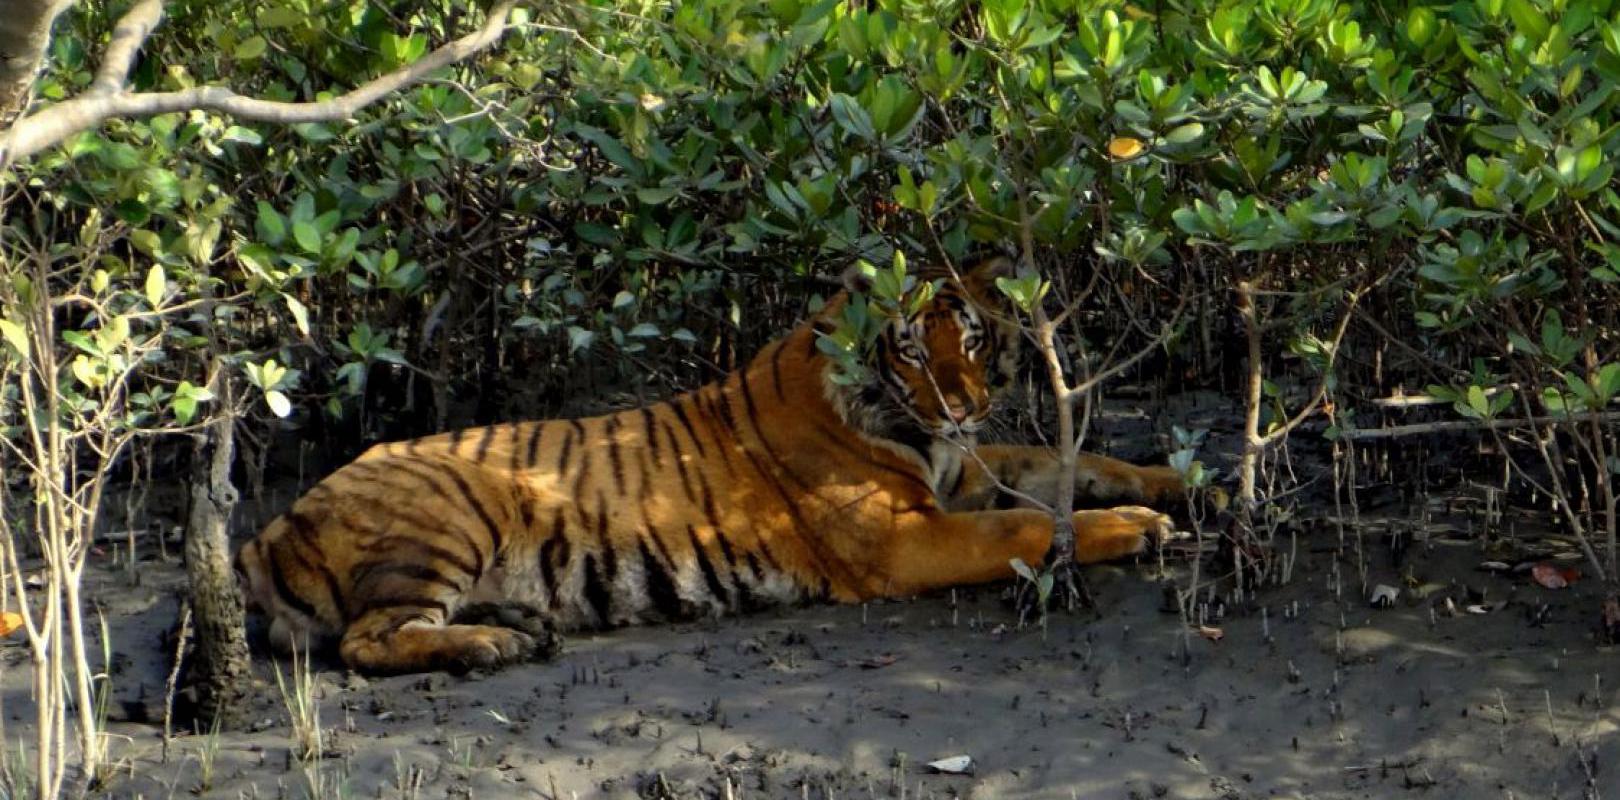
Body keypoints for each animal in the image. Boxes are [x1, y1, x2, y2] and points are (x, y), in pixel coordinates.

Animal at [235, 255, 1185, 675]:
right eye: (914, 350)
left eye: (975, 340)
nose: (961, 405)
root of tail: (267, 529)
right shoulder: (905, 539)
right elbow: (1027, 523)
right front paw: (1142, 527)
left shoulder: (964, 472)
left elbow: (1061, 461)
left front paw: (1169, 484)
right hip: (450, 516)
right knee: (364, 641)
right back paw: (494, 645)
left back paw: (521, 623)